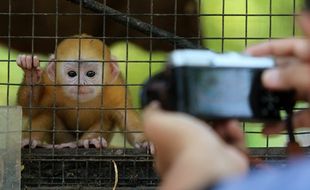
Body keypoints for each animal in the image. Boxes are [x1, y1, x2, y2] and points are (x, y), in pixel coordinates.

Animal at [17, 35, 147, 148]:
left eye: (90, 73)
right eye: (72, 73)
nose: (80, 84)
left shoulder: (115, 88)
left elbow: (126, 116)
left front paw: (145, 141)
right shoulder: (49, 82)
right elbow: (31, 109)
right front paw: (31, 73)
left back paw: (90, 140)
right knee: (46, 112)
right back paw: (31, 140)